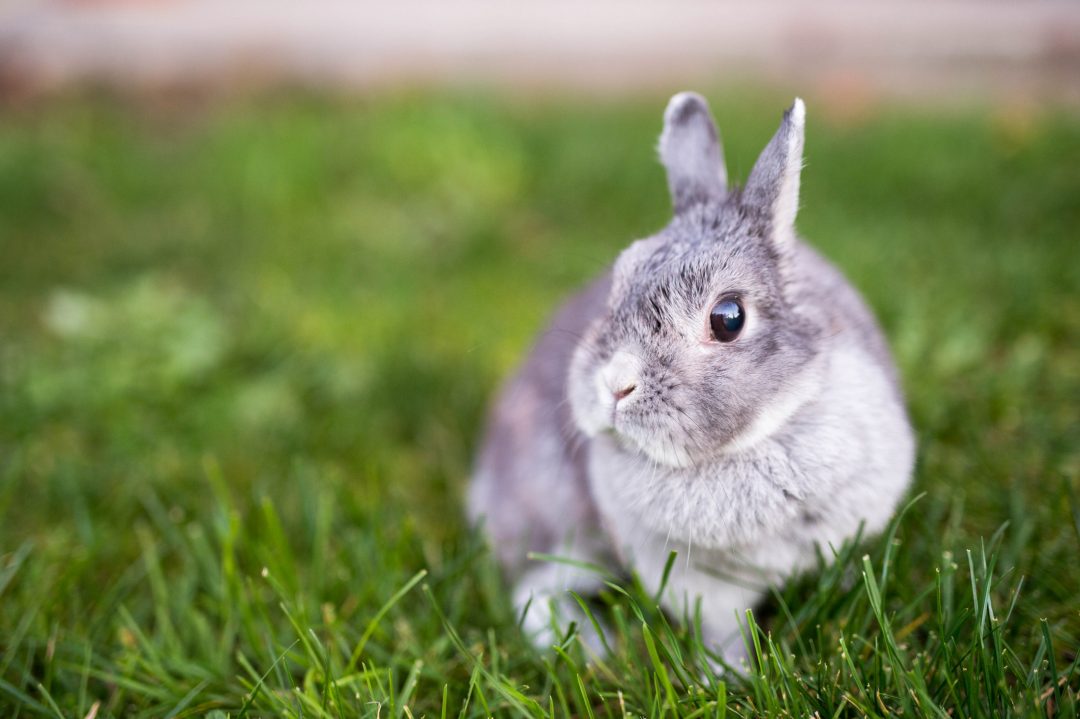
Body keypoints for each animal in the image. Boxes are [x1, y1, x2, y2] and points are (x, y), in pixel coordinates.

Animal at [467, 92, 915, 666]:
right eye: (616, 283)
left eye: (728, 318)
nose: (614, 385)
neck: (757, 438)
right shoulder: (698, 584)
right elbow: (722, 628)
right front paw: (729, 673)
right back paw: (592, 646)